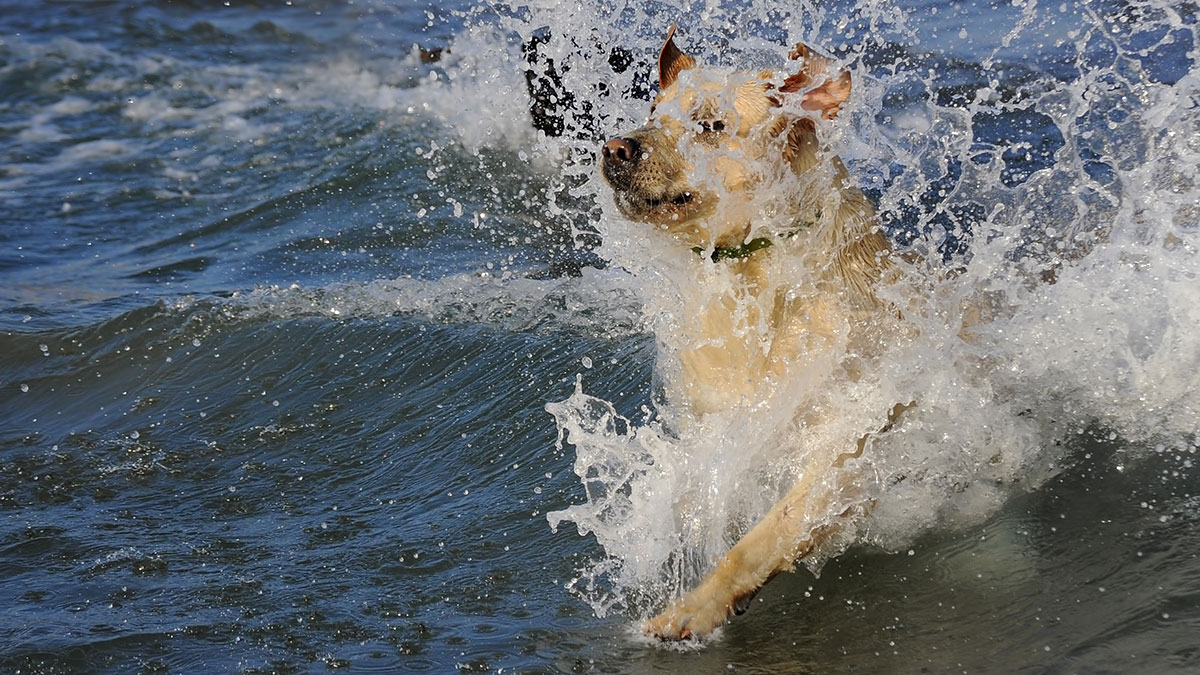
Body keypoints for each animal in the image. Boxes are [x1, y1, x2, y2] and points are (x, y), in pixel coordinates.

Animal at [600, 24, 907, 634]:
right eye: (652, 111)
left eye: (710, 126)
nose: (615, 148)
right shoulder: (714, 428)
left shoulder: (841, 444)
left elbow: (760, 540)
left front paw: (693, 610)